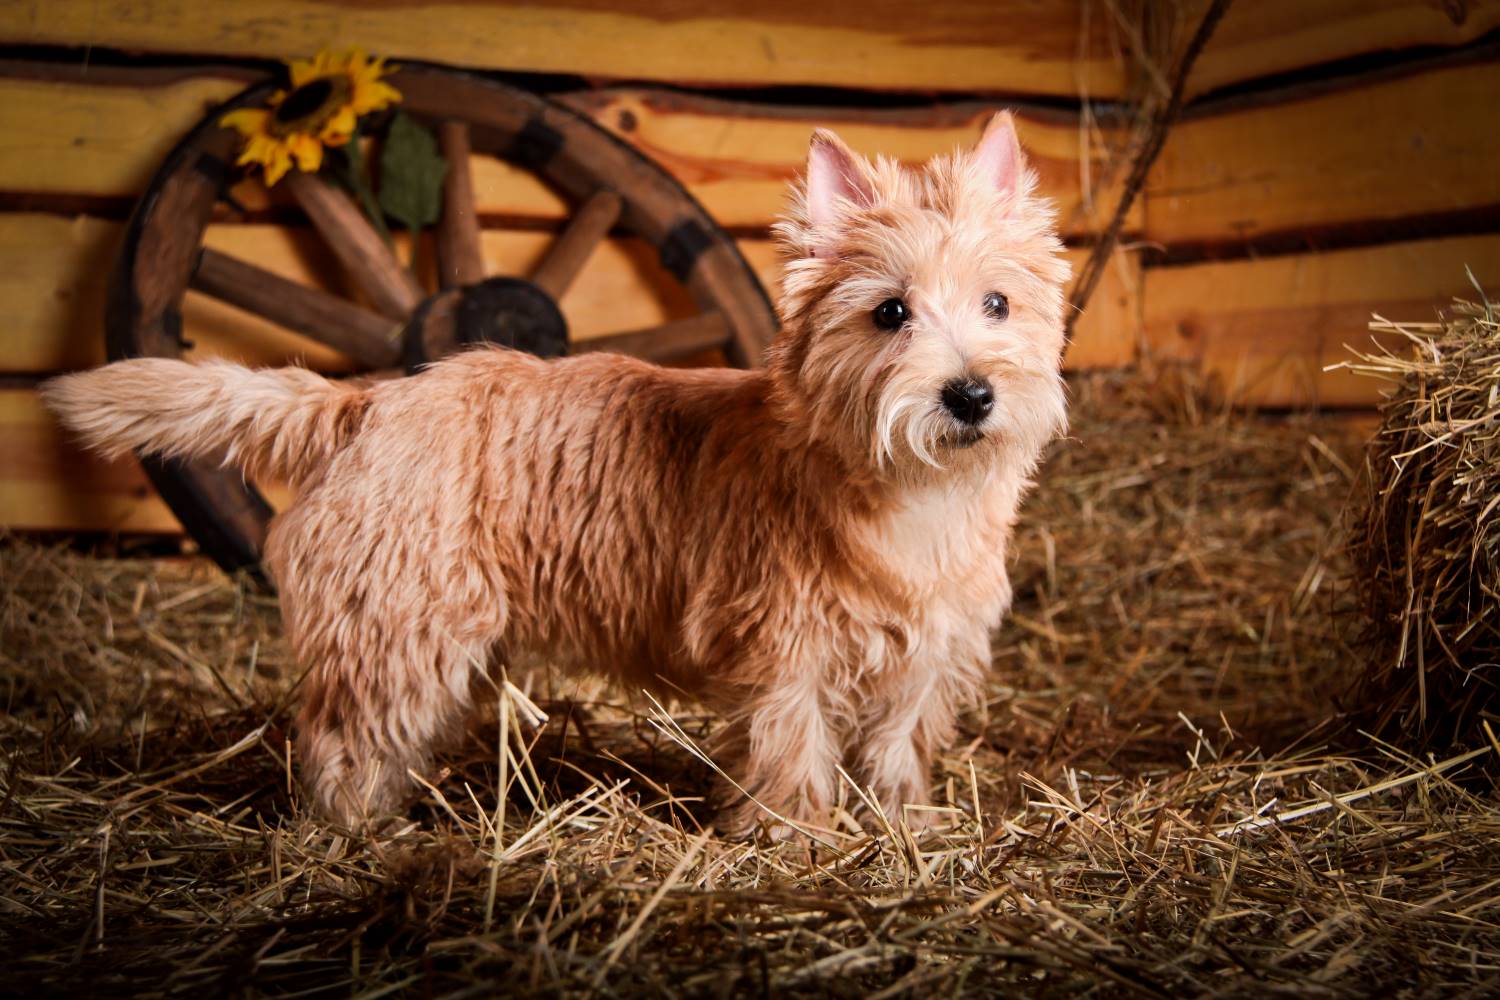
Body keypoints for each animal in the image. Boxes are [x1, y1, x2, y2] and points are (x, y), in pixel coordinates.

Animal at [43, 115, 1068, 839]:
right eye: (890, 311)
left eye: (997, 303)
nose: (970, 395)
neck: (905, 491)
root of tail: (368, 402)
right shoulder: (788, 655)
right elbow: (791, 754)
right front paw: (798, 842)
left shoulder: (927, 657)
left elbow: (896, 750)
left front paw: (904, 830)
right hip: (399, 627)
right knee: (343, 739)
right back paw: (356, 837)